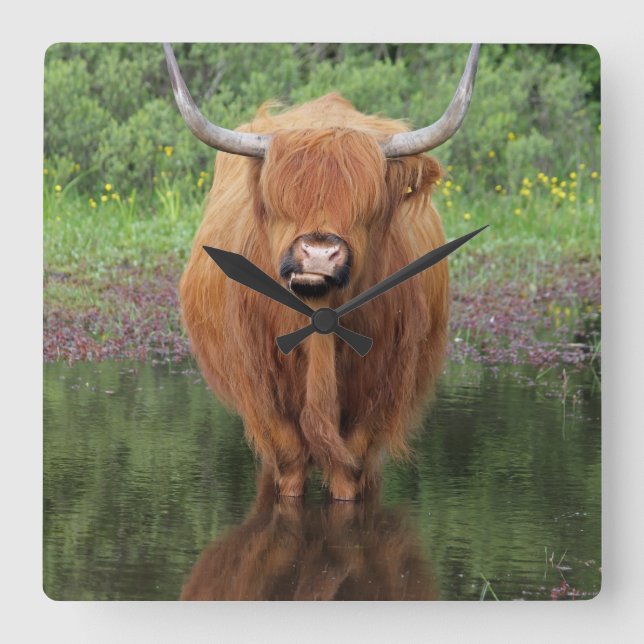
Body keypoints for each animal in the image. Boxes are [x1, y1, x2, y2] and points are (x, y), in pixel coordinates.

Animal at [164, 43, 480, 501]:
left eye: (368, 206)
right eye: (278, 201)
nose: (317, 253)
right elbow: (290, 462)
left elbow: (350, 471)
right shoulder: (261, 392)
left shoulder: (380, 393)